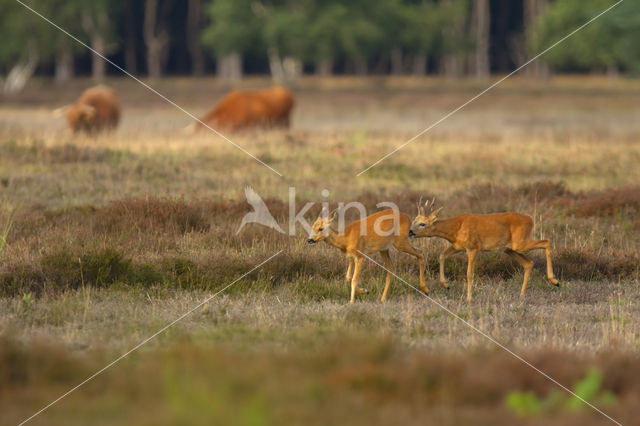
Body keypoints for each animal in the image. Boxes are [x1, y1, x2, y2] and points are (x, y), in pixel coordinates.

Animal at [410, 201, 560, 302]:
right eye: (414, 220)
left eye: (423, 223)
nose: (410, 232)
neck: (456, 228)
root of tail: (529, 219)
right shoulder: (458, 247)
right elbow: (441, 255)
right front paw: (445, 285)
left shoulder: (473, 248)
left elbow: (469, 273)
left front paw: (468, 298)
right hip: (509, 249)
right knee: (529, 263)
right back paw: (522, 295)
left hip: (520, 243)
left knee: (546, 242)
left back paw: (554, 280)